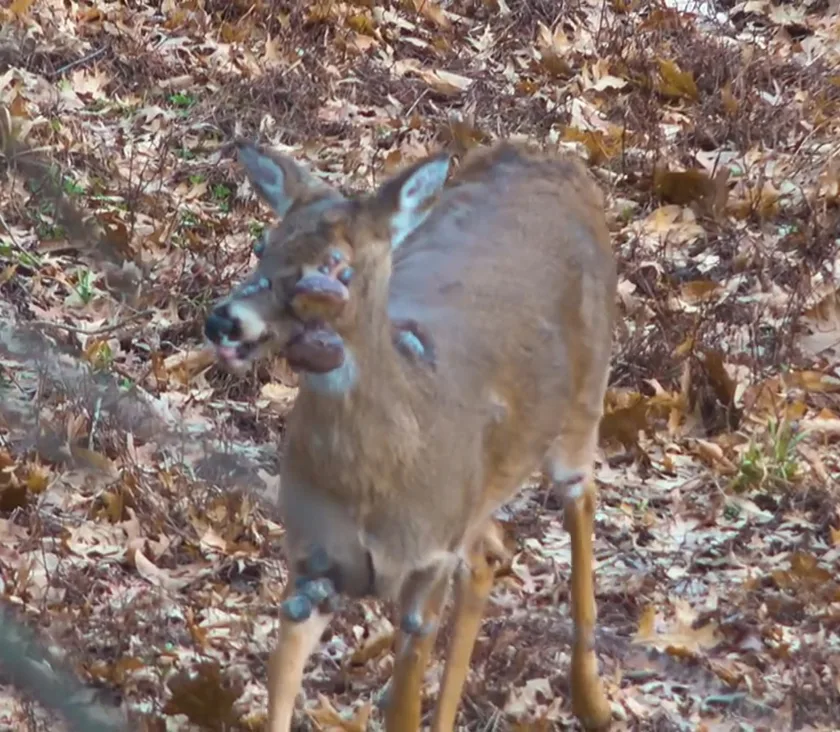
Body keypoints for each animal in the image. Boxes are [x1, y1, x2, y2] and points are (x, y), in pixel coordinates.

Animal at [203, 139, 616, 732]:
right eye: (264, 244)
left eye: (336, 266)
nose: (225, 321)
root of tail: (556, 159)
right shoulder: (312, 560)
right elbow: (279, 693)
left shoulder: (427, 565)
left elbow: (403, 708)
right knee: (491, 551)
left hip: (585, 402)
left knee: (581, 500)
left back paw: (593, 701)